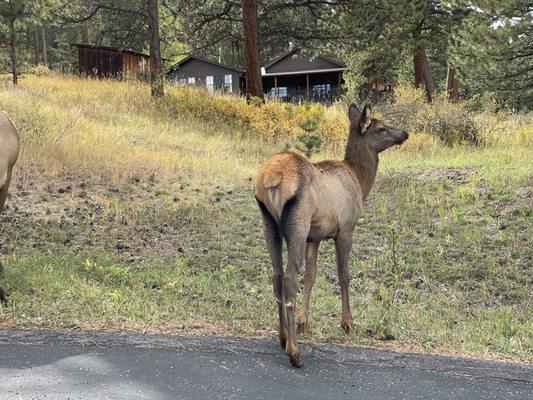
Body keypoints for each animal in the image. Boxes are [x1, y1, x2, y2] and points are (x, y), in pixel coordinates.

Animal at [254, 104, 408, 368]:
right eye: (381, 128)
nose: (405, 133)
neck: (360, 181)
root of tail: (270, 180)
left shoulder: (314, 237)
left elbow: (312, 275)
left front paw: (303, 321)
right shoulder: (345, 229)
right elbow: (343, 274)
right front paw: (348, 323)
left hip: (270, 224)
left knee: (277, 275)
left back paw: (283, 337)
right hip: (298, 222)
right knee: (289, 279)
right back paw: (294, 352)